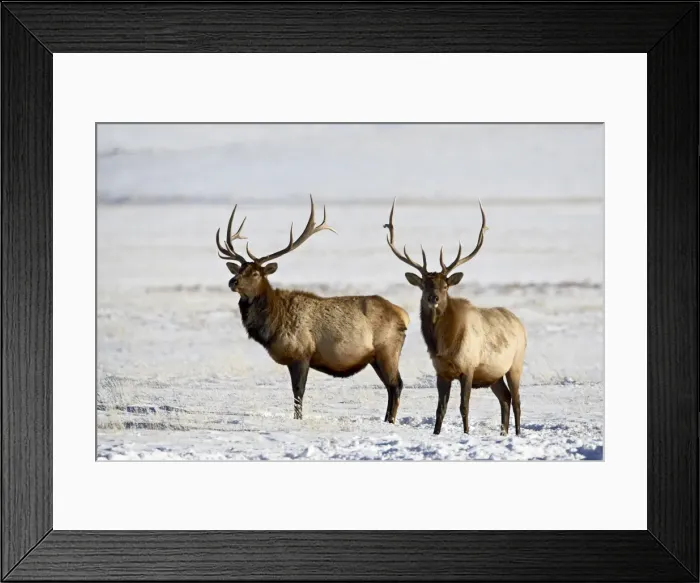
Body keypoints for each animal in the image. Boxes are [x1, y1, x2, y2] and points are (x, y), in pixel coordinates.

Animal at [216, 195, 410, 423]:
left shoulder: (302, 353)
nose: (233, 281)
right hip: (376, 357)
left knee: (396, 385)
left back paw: (390, 420)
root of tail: (403, 315)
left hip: (387, 349)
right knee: (391, 386)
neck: (272, 325)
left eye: (255, 273)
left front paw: (298, 419)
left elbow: (298, 392)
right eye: (238, 269)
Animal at [384, 200, 527, 436]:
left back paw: (516, 433)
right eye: (424, 285)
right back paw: (503, 432)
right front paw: (436, 433)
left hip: (515, 364)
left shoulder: (468, 367)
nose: (433, 297)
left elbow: (463, 406)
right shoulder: (441, 372)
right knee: (505, 398)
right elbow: (440, 408)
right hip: (494, 374)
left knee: (516, 400)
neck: (445, 345)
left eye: (445, 286)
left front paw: (467, 433)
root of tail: (520, 323)